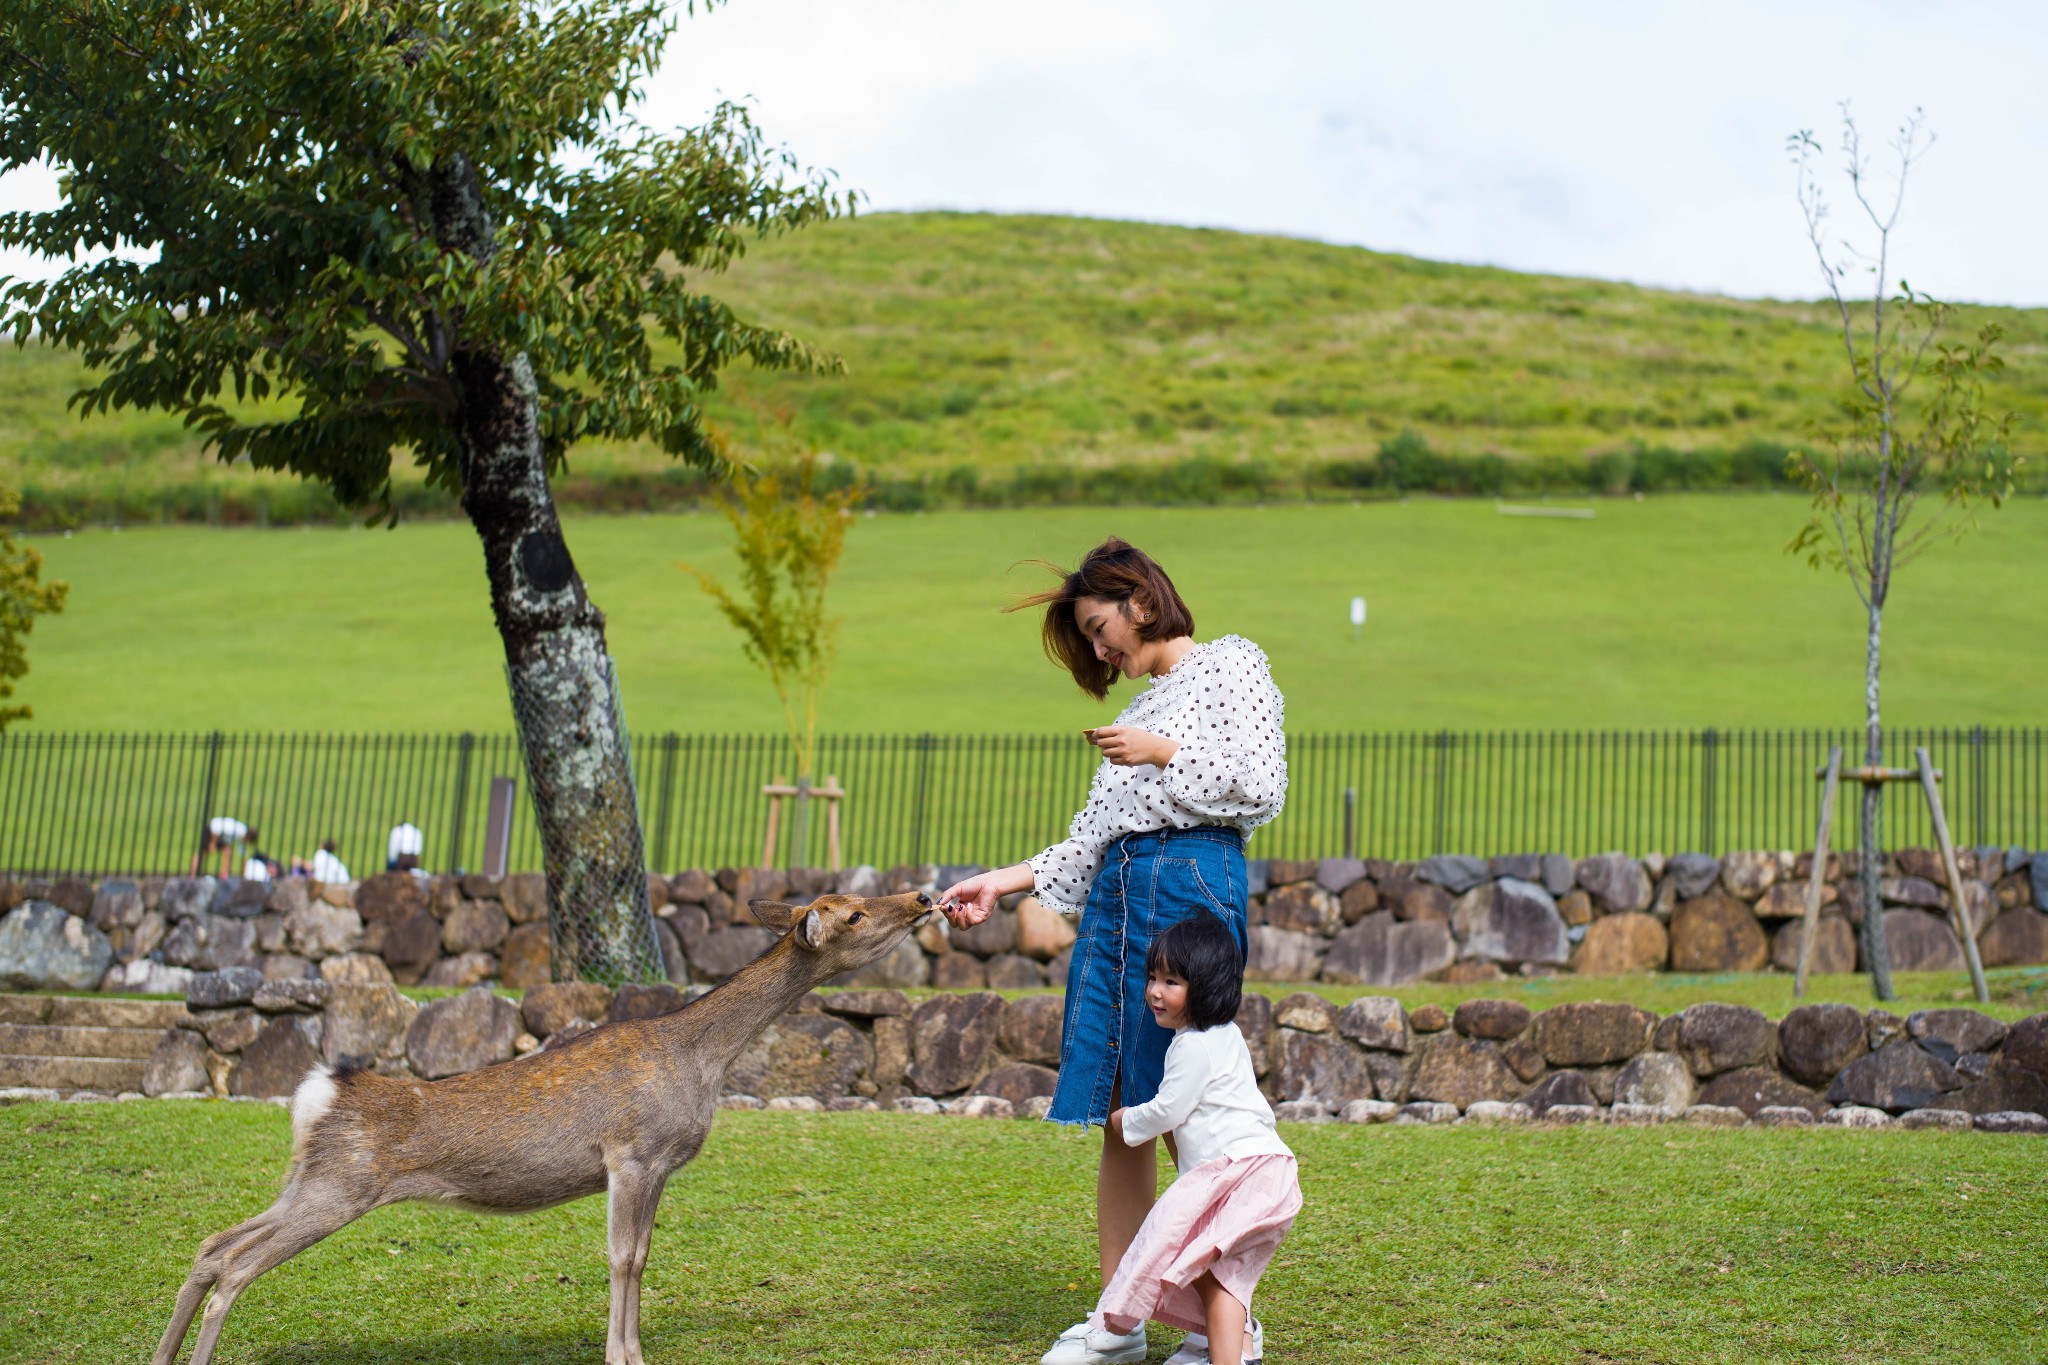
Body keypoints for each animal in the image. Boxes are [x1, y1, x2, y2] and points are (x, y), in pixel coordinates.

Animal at [155, 888, 937, 1365]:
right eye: (853, 914)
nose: (925, 896)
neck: (703, 1062)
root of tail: (317, 1094)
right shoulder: (632, 1152)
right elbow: (624, 1258)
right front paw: (624, 1354)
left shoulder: (655, 1166)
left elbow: (641, 1255)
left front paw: (630, 1347)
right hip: (340, 1188)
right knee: (236, 1265)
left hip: (310, 1180)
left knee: (213, 1242)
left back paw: (162, 1354)